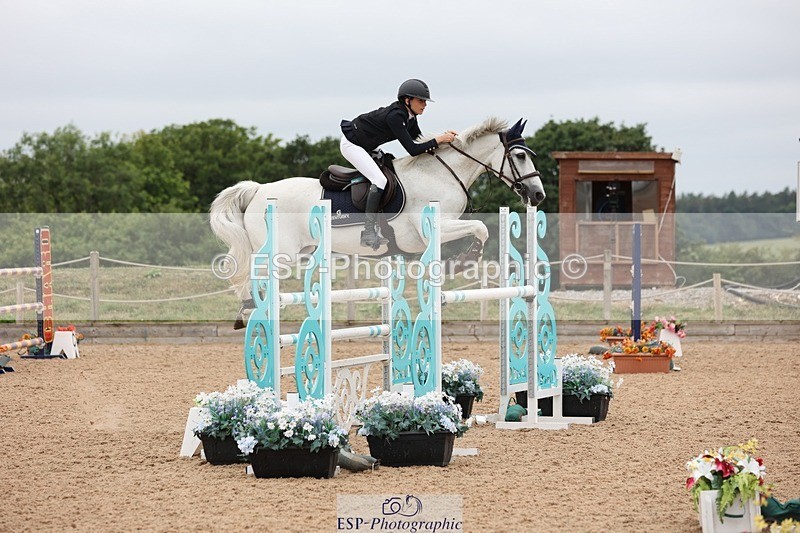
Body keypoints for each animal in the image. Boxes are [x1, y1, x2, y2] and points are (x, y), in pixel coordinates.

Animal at [210, 117, 545, 318]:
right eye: (519, 156)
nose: (538, 195)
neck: (441, 175)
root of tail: (258, 190)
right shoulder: (431, 229)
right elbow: (480, 228)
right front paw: (464, 261)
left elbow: (480, 228)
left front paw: (461, 261)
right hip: (281, 252)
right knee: (252, 274)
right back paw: (250, 307)